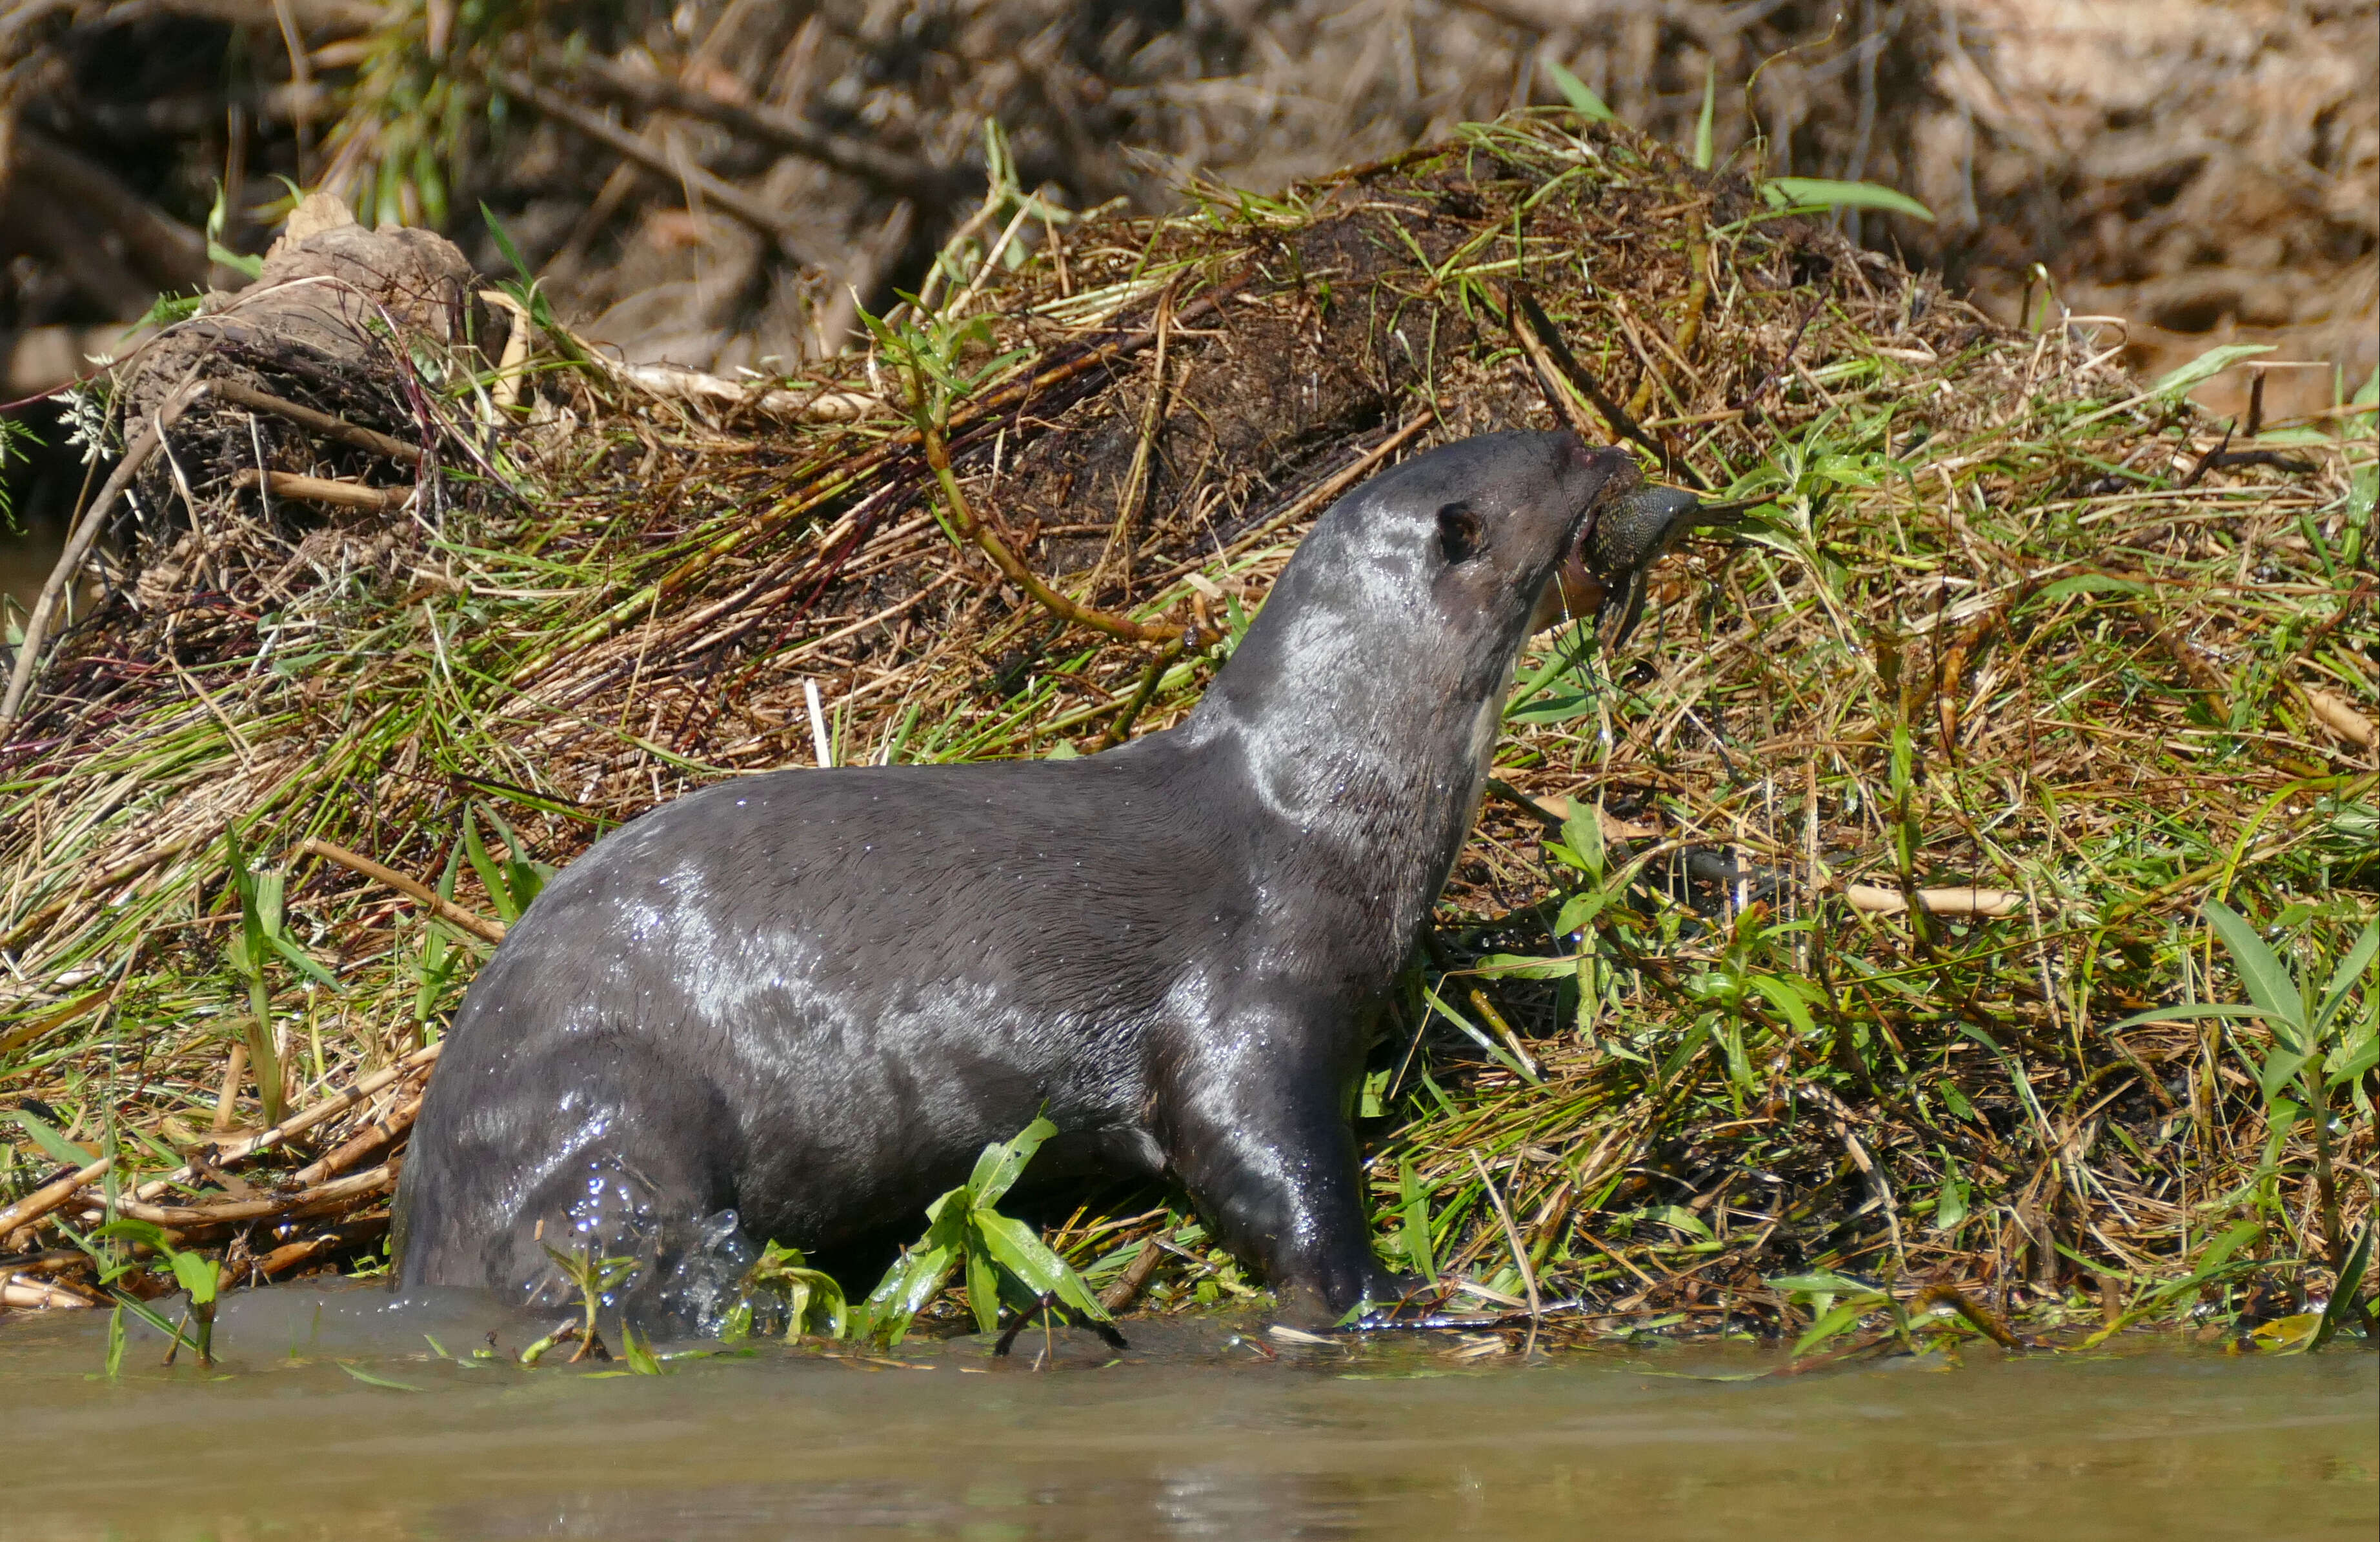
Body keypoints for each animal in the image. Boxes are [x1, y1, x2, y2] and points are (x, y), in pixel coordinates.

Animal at [395, 430, 1656, 1323]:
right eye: (1553, 451)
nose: (1615, 449)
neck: (1329, 803)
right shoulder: (1253, 989)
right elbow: (1259, 1160)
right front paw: (1389, 1300)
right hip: (607, 1101)